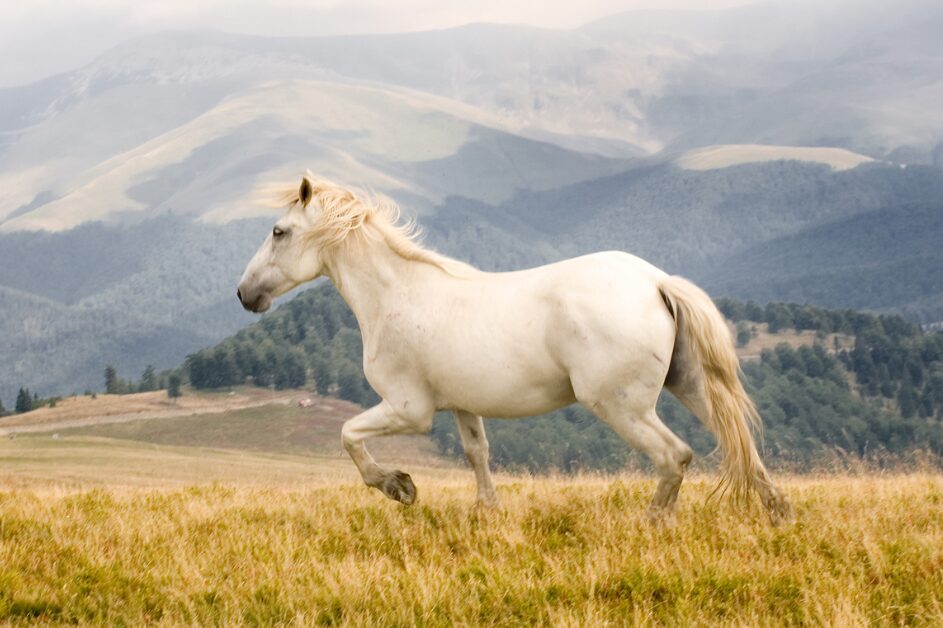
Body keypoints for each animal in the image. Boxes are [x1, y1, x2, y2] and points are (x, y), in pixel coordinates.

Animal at [237, 174, 793, 525]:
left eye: (279, 231)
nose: (245, 295)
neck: (396, 295)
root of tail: (656, 282)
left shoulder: (408, 409)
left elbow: (349, 435)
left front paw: (400, 487)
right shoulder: (462, 405)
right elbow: (476, 453)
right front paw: (487, 513)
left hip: (621, 406)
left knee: (675, 456)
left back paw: (652, 524)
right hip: (690, 386)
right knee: (741, 444)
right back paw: (778, 515)